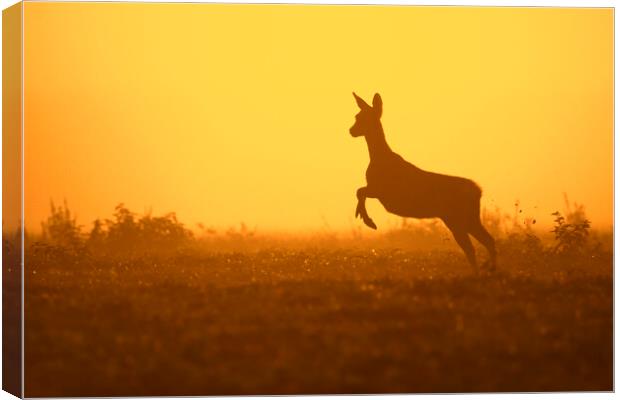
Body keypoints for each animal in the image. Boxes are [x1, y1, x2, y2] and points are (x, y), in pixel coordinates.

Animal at [352, 92, 496, 270]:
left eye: (361, 117)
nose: (351, 130)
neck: (379, 158)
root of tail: (479, 191)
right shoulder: (379, 192)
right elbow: (360, 191)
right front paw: (363, 216)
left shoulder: (383, 191)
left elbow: (359, 191)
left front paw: (367, 220)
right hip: (463, 217)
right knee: (484, 242)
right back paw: (489, 270)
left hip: (460, 217)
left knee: (475, 245)